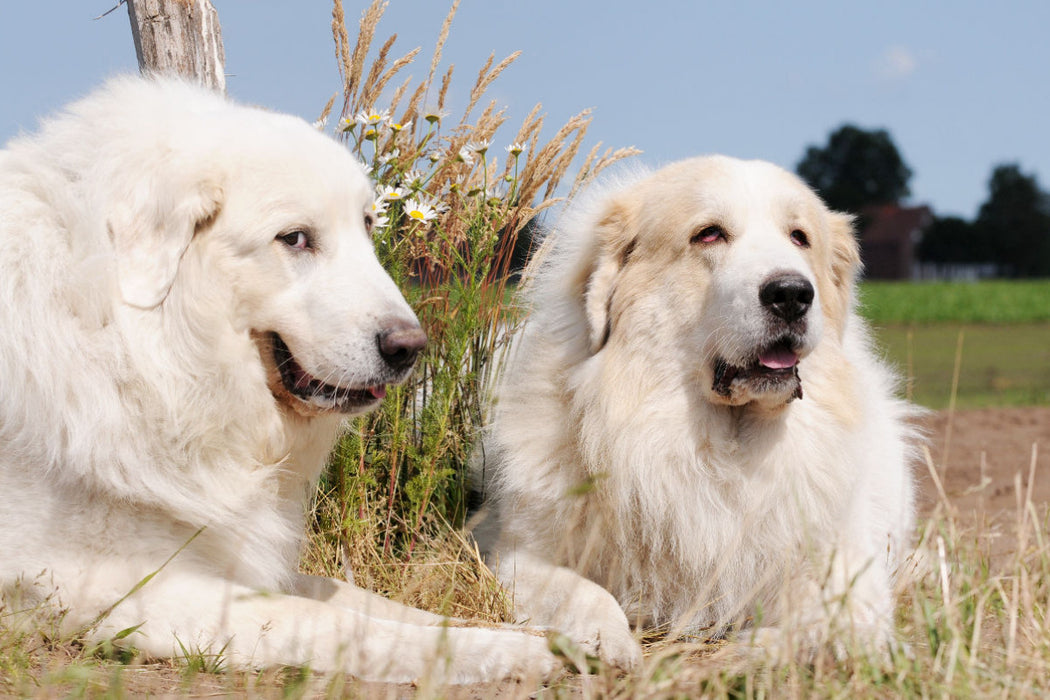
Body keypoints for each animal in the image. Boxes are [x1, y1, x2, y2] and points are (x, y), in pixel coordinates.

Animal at [0, 76, 558, 684]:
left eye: (367, 226)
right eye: (294, 239)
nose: (411, 348)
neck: (138, 348)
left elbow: (368, 600)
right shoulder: (127, 588)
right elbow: (335, 622)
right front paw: (509, 653)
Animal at [472, 157, 915, 667]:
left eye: (799, 237)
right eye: (709, 235)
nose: (791, 293)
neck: (722, 450)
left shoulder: (849, 570)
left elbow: (829, 620)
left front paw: (753, 650)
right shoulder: (517, 556)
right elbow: (582, 592)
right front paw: (611, 642)